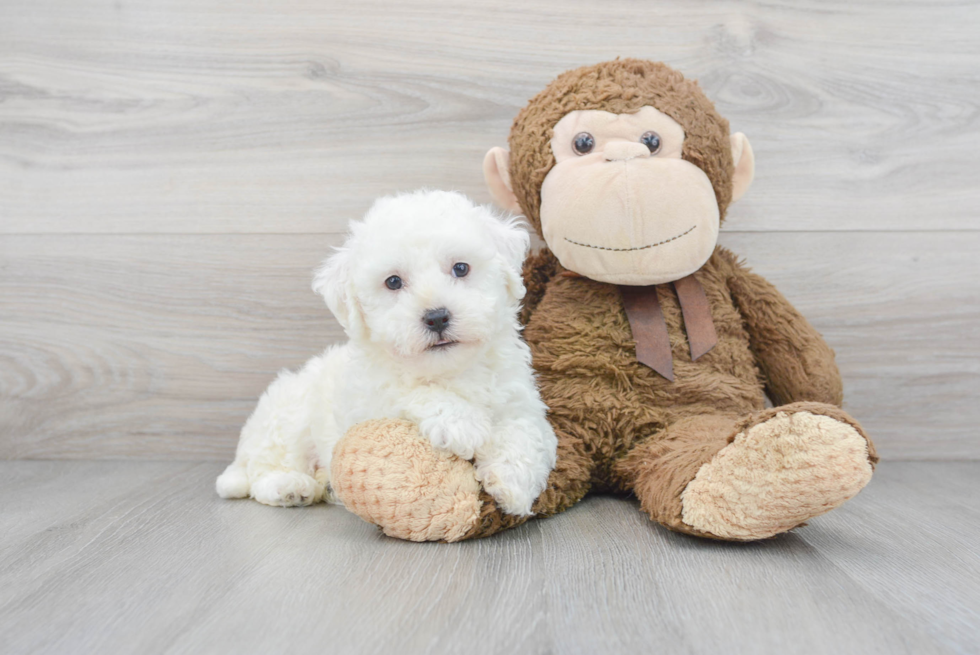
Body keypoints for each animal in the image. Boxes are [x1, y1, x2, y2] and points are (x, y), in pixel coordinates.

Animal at [217, 190, 560, 516]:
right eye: (393, 282)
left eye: (461, 268)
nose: (437, 317)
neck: (450, 370)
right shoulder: (370, 400)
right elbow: (409, 391)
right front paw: (461, 423)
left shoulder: (522, 401)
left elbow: (524, 430)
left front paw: (513, 484)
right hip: (288, 416)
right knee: (265, 471)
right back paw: (289, 486)